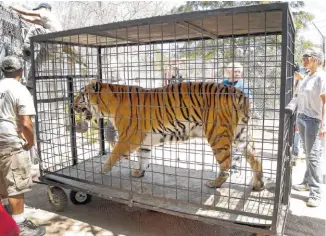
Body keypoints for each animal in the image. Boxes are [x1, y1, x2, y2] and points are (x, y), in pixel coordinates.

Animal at [72, 80, 264, 191]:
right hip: (241, 135)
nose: (72, 106)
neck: (108, 105)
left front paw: (102, 170)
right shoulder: (144, 141)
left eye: (81, 95)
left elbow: (113, 155)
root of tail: (239, 93)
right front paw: (139, 173)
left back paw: (214, 183)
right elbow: (143, 158)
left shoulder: (128, 138)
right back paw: (258, 184)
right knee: (255, 158)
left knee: (227, 164)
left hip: (218, 135)